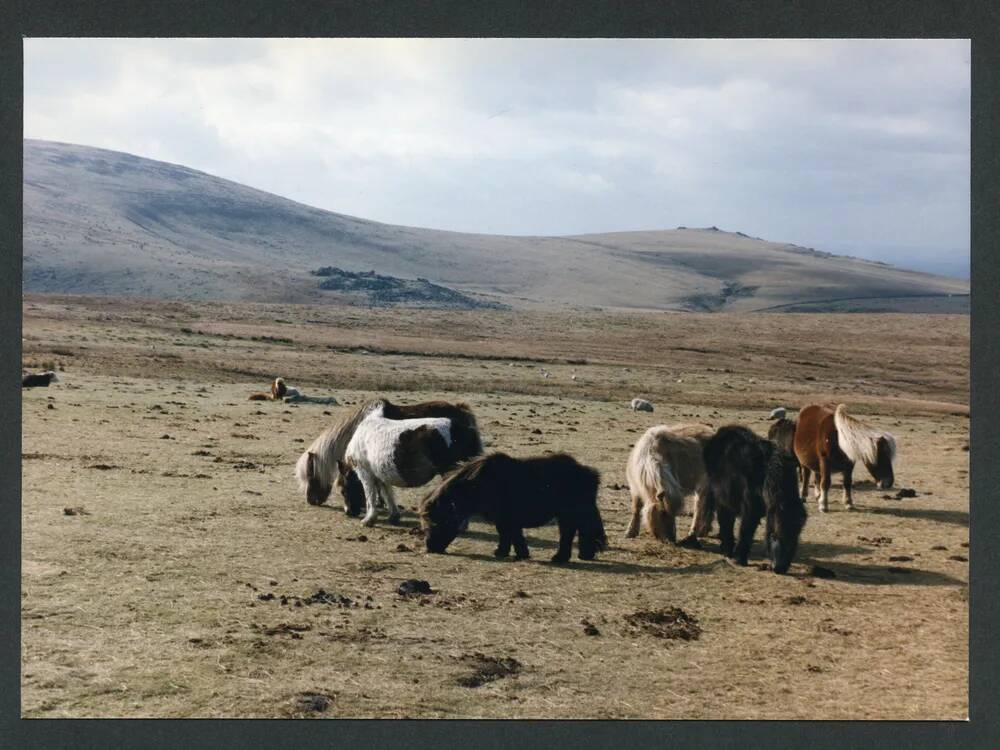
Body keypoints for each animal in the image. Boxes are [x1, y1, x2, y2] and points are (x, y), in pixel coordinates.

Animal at [418, 452, 604, 564]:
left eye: (437, 521)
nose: (430, 548)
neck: (478, 485)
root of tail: (589, 473)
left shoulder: (507, 519)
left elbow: (512, 535)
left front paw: (518, 554)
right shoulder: (502, 520)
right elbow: (506, 535)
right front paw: (503, 552)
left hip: (571, 513)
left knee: (574, 532)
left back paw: (565, 557)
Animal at [692, 428, 808, 576]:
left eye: (795, 536)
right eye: (774, 535)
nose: (779, 568)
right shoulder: (750, 509)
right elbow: (745, 531)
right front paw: (739, 559)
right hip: (720, 497)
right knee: (724, 520)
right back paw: (726, 549)